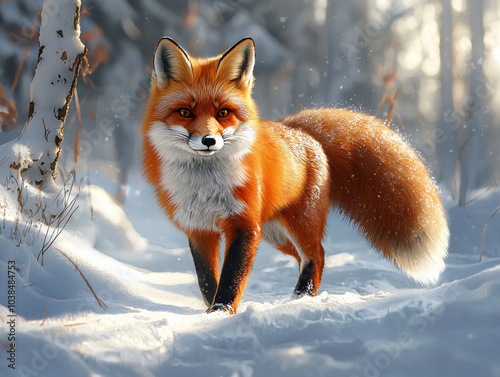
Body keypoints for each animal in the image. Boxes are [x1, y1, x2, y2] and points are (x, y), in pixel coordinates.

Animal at [141, 36, 450, 312]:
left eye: (223, 113)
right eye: (185, 112)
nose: (208, 140)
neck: (204, 186)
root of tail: (301, 131)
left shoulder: (243, 225)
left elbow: (231, 279)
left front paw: (221, 312)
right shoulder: (198, 228)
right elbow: (207, 281)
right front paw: (212, 310)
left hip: (297, 223)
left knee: (317, 255)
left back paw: (302, 299)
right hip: (273, 232)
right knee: (307, 257)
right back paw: (296, 299)